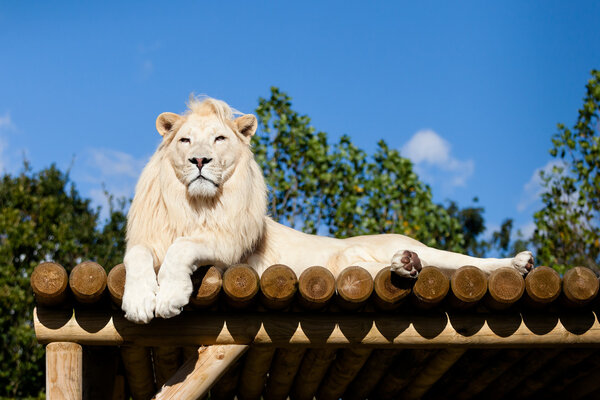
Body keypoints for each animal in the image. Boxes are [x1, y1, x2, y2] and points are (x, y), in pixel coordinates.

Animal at [122, 97, 536, 324]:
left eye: (220, 138)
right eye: (186, 140)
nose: (199, 160)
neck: (196, 205)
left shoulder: (229, 248)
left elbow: (182, 249)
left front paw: (169, 297)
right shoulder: (149, 241)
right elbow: (136, 257)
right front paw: (140, 302)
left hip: (412, 252)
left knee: (463, 262)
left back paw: (519, 263)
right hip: (347, 264)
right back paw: (406, 265)